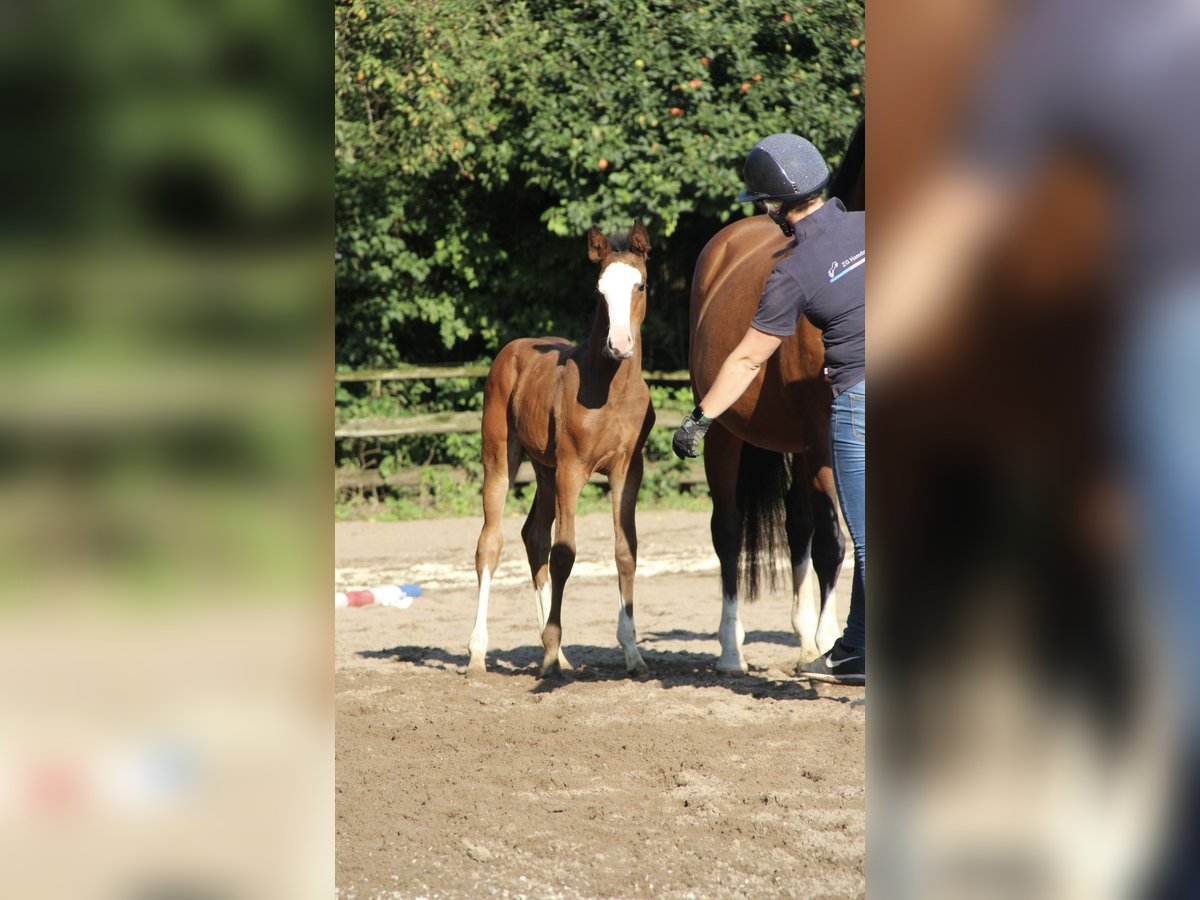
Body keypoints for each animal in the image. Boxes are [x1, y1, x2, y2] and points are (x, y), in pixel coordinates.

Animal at [468, 224, 657, 676]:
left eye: (640, 285)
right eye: (599, 289)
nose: (619, 344)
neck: (611, 390)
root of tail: (512, 350)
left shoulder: (628, 470)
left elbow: (625, 551)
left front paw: (633, 655)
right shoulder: (573, 468)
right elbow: (565, 554)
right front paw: (551, 653)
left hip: (545, 470)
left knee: (533, 536)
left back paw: (559, 656)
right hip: (502, 460)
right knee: (490, 544)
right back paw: (479, 653)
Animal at [686, 128, 864, 676]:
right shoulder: (826, 438)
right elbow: (833, 540)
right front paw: (833, 647)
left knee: (796, 526)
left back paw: (805, 637)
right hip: (726, 434)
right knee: (728, 530)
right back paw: (730, 649)